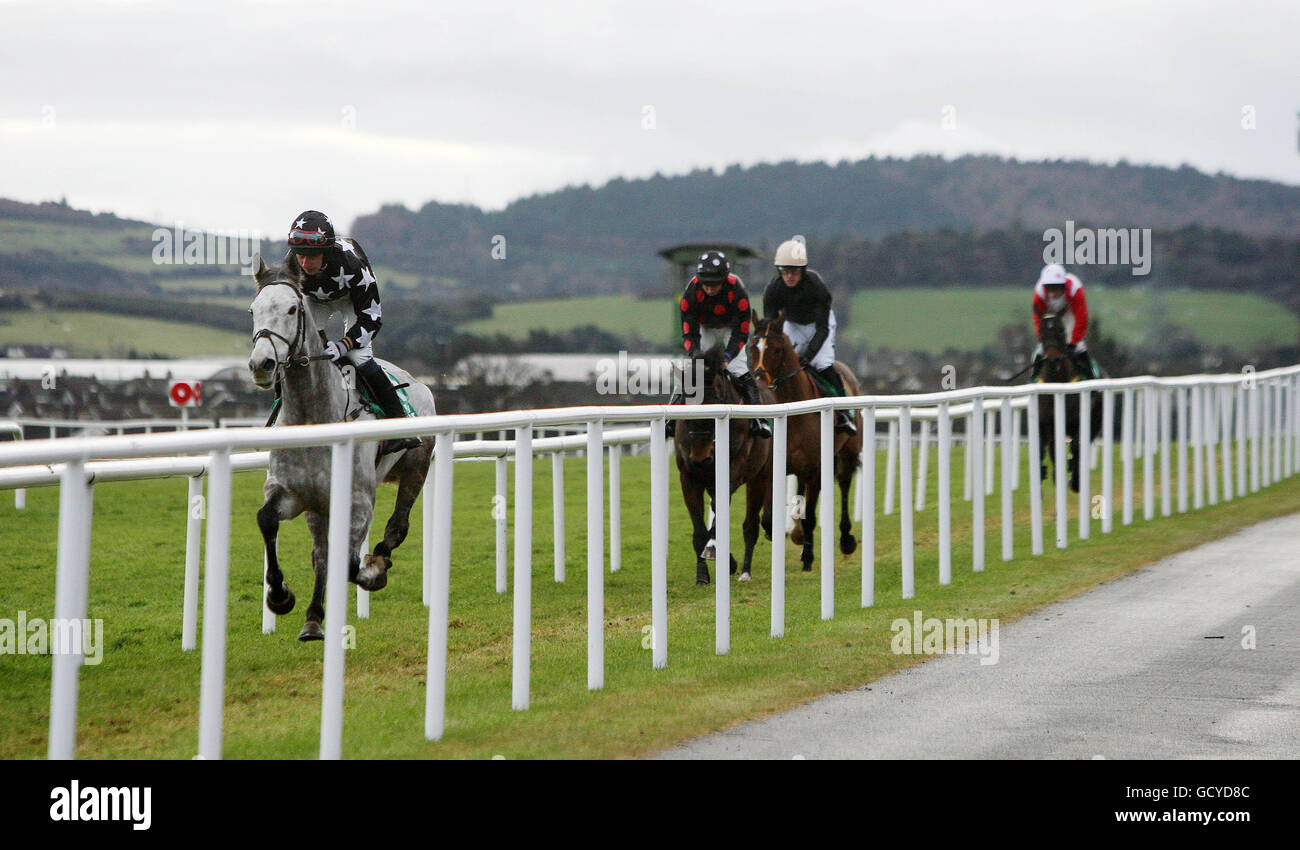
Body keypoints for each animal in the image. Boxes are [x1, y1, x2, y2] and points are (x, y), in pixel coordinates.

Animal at [245, 256, 439, 642]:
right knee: (321, 552)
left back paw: (377, 563)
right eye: (254, 310)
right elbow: (267, 520)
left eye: (291, 309)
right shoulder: (291, 493)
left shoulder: (358, 501)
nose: (262, 364)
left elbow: (349, 563)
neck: (314, 419)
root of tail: (421, 384)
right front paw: (280, 595)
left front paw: (372, 571)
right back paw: (313, 620)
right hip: (319, 507)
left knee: (397, 527)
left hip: (416, 466)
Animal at [670, 345, 769, 587]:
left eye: (714, 398)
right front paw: (702, 574)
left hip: (760, 476)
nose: (700, 456)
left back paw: (745, 571)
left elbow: (720, 509)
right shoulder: (688, 477)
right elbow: (699, 529)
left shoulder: (733, 471)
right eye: (685, 399)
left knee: (750, 524)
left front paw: (718, 552)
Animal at [748, 315, 857, 577]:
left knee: (844, 483)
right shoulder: (774, 466)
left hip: (848, 451)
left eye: (777, 349)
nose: (758, 379)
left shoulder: (816, 469)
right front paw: (784, 533)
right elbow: (769, 517)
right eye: (752, 347)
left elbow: (810, 516)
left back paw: (845, 539)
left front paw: (808, 556)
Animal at [1029, 311, 1102, 493]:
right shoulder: (1046, 423)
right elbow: (1045, 449)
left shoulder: (1079, 421)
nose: (1053, 360)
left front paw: (1074, 479)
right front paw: (1045, 475)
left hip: (1096, 419)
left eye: (1061, 330)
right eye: (1041, 332)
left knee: (1082, 443)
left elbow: (1076, 446)